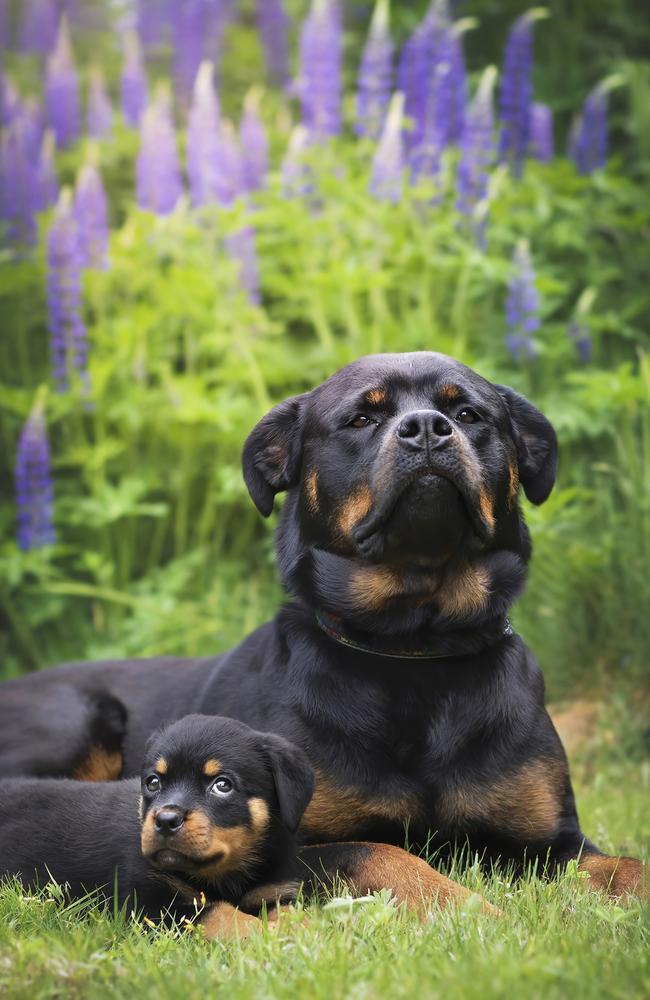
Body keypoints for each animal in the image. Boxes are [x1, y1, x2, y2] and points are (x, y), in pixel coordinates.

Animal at [1, 354, 644, 908]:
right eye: (362, 418)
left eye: (468, 414)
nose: (427, 429)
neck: (415, 649)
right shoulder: (295, 843)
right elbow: (388, 855)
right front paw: (468, 908)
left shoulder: (555, 842)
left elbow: (625, 866)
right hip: (71, 720)